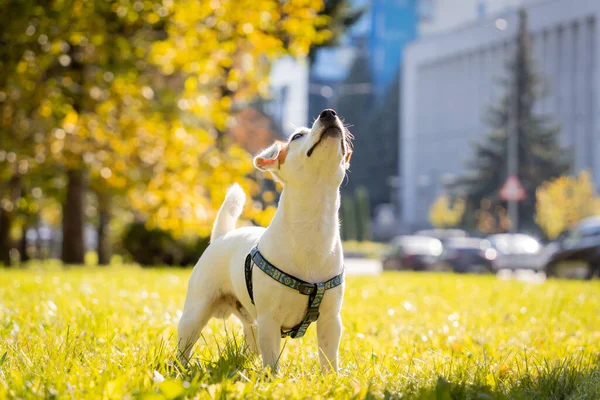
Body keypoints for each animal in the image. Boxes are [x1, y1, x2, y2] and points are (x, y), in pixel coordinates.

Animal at [178, 108, 354, 372]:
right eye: (297, 136)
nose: (328, 113)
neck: (313, 223)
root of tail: (222, 235)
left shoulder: (331, 320)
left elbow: (328, 356)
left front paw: (331, 377)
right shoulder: (270, 319)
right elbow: (271, 360)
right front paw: (273, 378)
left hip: (250, 320)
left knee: (250, 337)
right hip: (196, 311)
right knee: (186, 342)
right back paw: (179, 367)